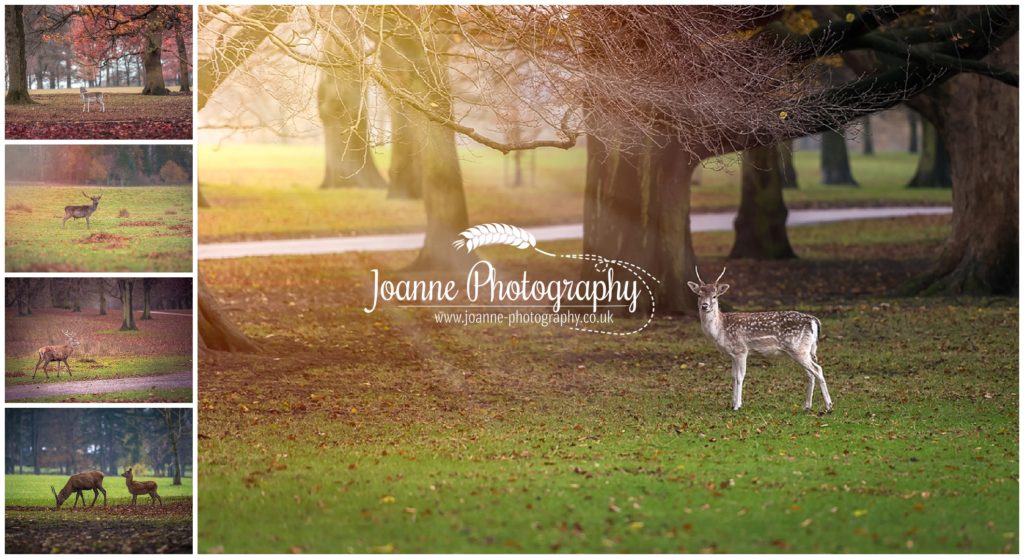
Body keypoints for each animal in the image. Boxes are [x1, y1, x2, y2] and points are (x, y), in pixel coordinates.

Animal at [688, 266, 831, 413]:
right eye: (699, 295)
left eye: (715, 296)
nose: (705, 306)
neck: (721, 330)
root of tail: (814, 320)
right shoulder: (732, 354)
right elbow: (733, 377)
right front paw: (732, 403)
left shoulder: (741, 350)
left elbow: (740, 377)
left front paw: (737, 405)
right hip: (802, 350)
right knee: (810, 374)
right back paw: (807, 406)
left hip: (798, 349)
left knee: (818, 369)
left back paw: (828, 406)